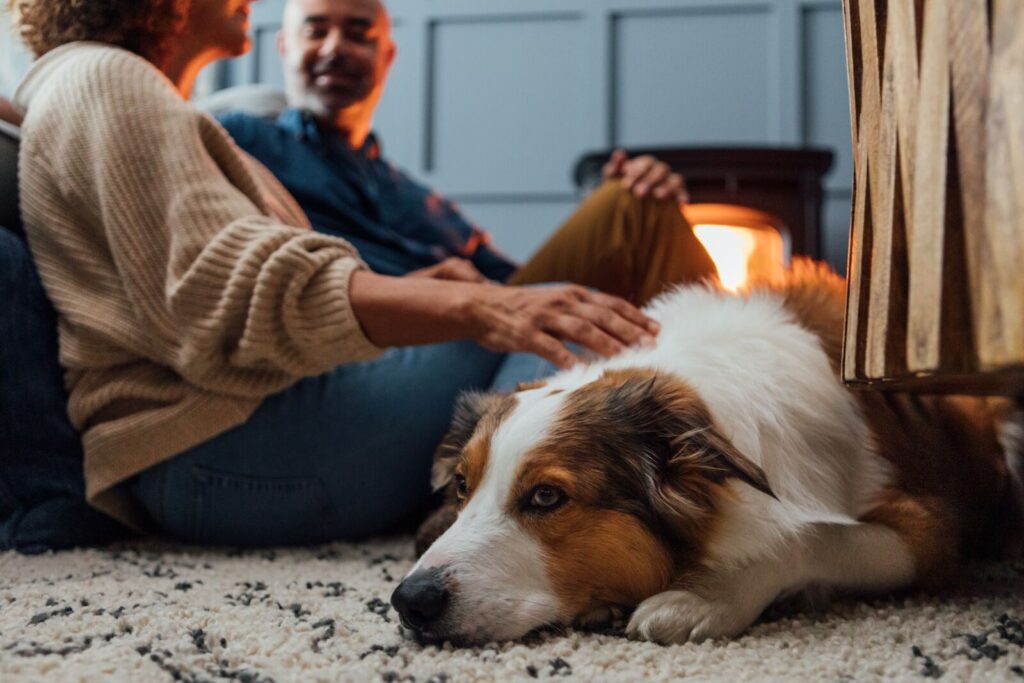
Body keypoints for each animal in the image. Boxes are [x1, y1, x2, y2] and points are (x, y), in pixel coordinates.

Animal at [391, 262, 1015, 647]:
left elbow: (813, 535)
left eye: (546, 497)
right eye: (462, 486)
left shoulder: (928, 531)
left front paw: (703, 599)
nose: (409, 601)